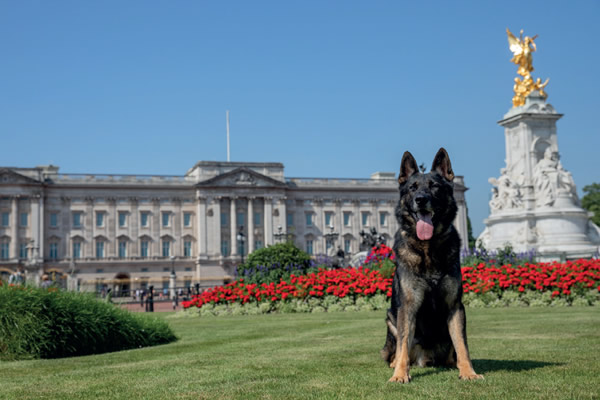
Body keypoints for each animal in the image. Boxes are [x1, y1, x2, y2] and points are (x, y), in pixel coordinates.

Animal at [382, 148, 486, 382]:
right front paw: (399, 375)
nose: (421, 199)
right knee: (398, 349)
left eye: (435, 186)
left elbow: (462, 345)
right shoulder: (408, 306)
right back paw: (395, 364)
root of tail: (425, 359)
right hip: (392, 317)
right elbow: (403, 344)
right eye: (412, 188)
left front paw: (468, 372)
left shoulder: (455, 307)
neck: (428, 248)